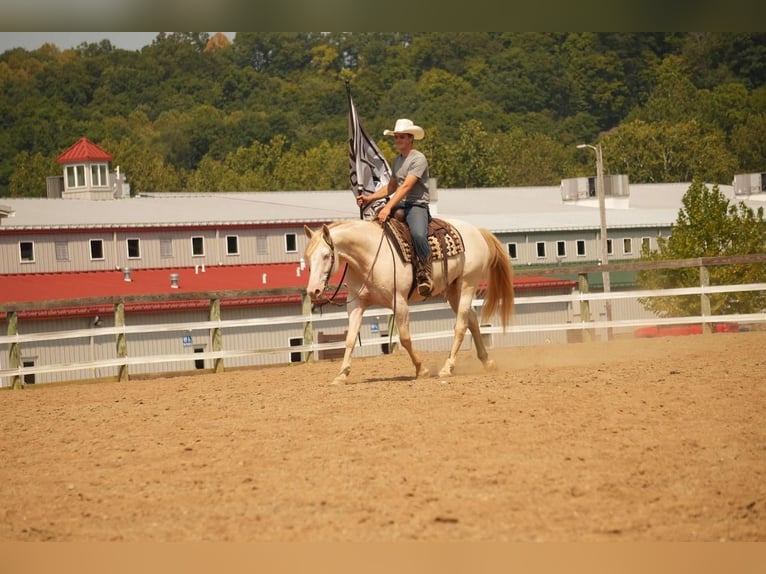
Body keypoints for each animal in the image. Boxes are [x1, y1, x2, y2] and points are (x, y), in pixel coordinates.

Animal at [302, 219, 516, 388]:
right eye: (308, 258)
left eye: (326, 256)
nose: (313, 291)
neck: (370, 256)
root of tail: (477, 231)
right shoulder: (355, 304)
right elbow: (350, 339)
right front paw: (341, 375)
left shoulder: (399, 301)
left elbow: (405, 338)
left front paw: (421, 370)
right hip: (453, 290)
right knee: (471, 319)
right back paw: (487, 362)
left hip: (467, 284)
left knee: (461, 325)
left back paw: (447, 368)